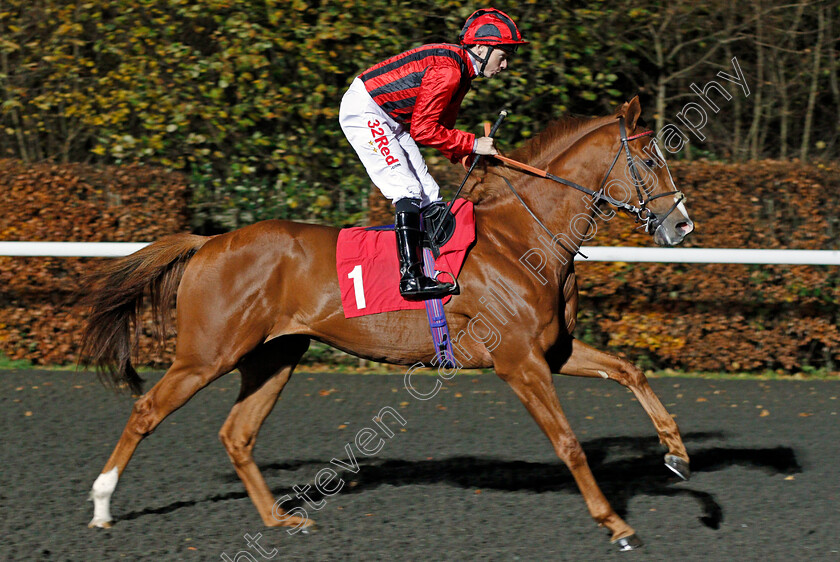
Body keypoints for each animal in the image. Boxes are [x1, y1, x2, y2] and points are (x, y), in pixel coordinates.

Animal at [82, 96, 692, 548]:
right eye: (651, 160)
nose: (681, 224)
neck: (524, 237)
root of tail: (209, 242)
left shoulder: (554, 350)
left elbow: (631, 372)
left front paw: (677, 454)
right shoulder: (519, 361)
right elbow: (568, 442)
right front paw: (615, 524)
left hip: (275, 355)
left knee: (238, 434)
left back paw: (280, 519)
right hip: (207, 353)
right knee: (147, 410)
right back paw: (103, 504)